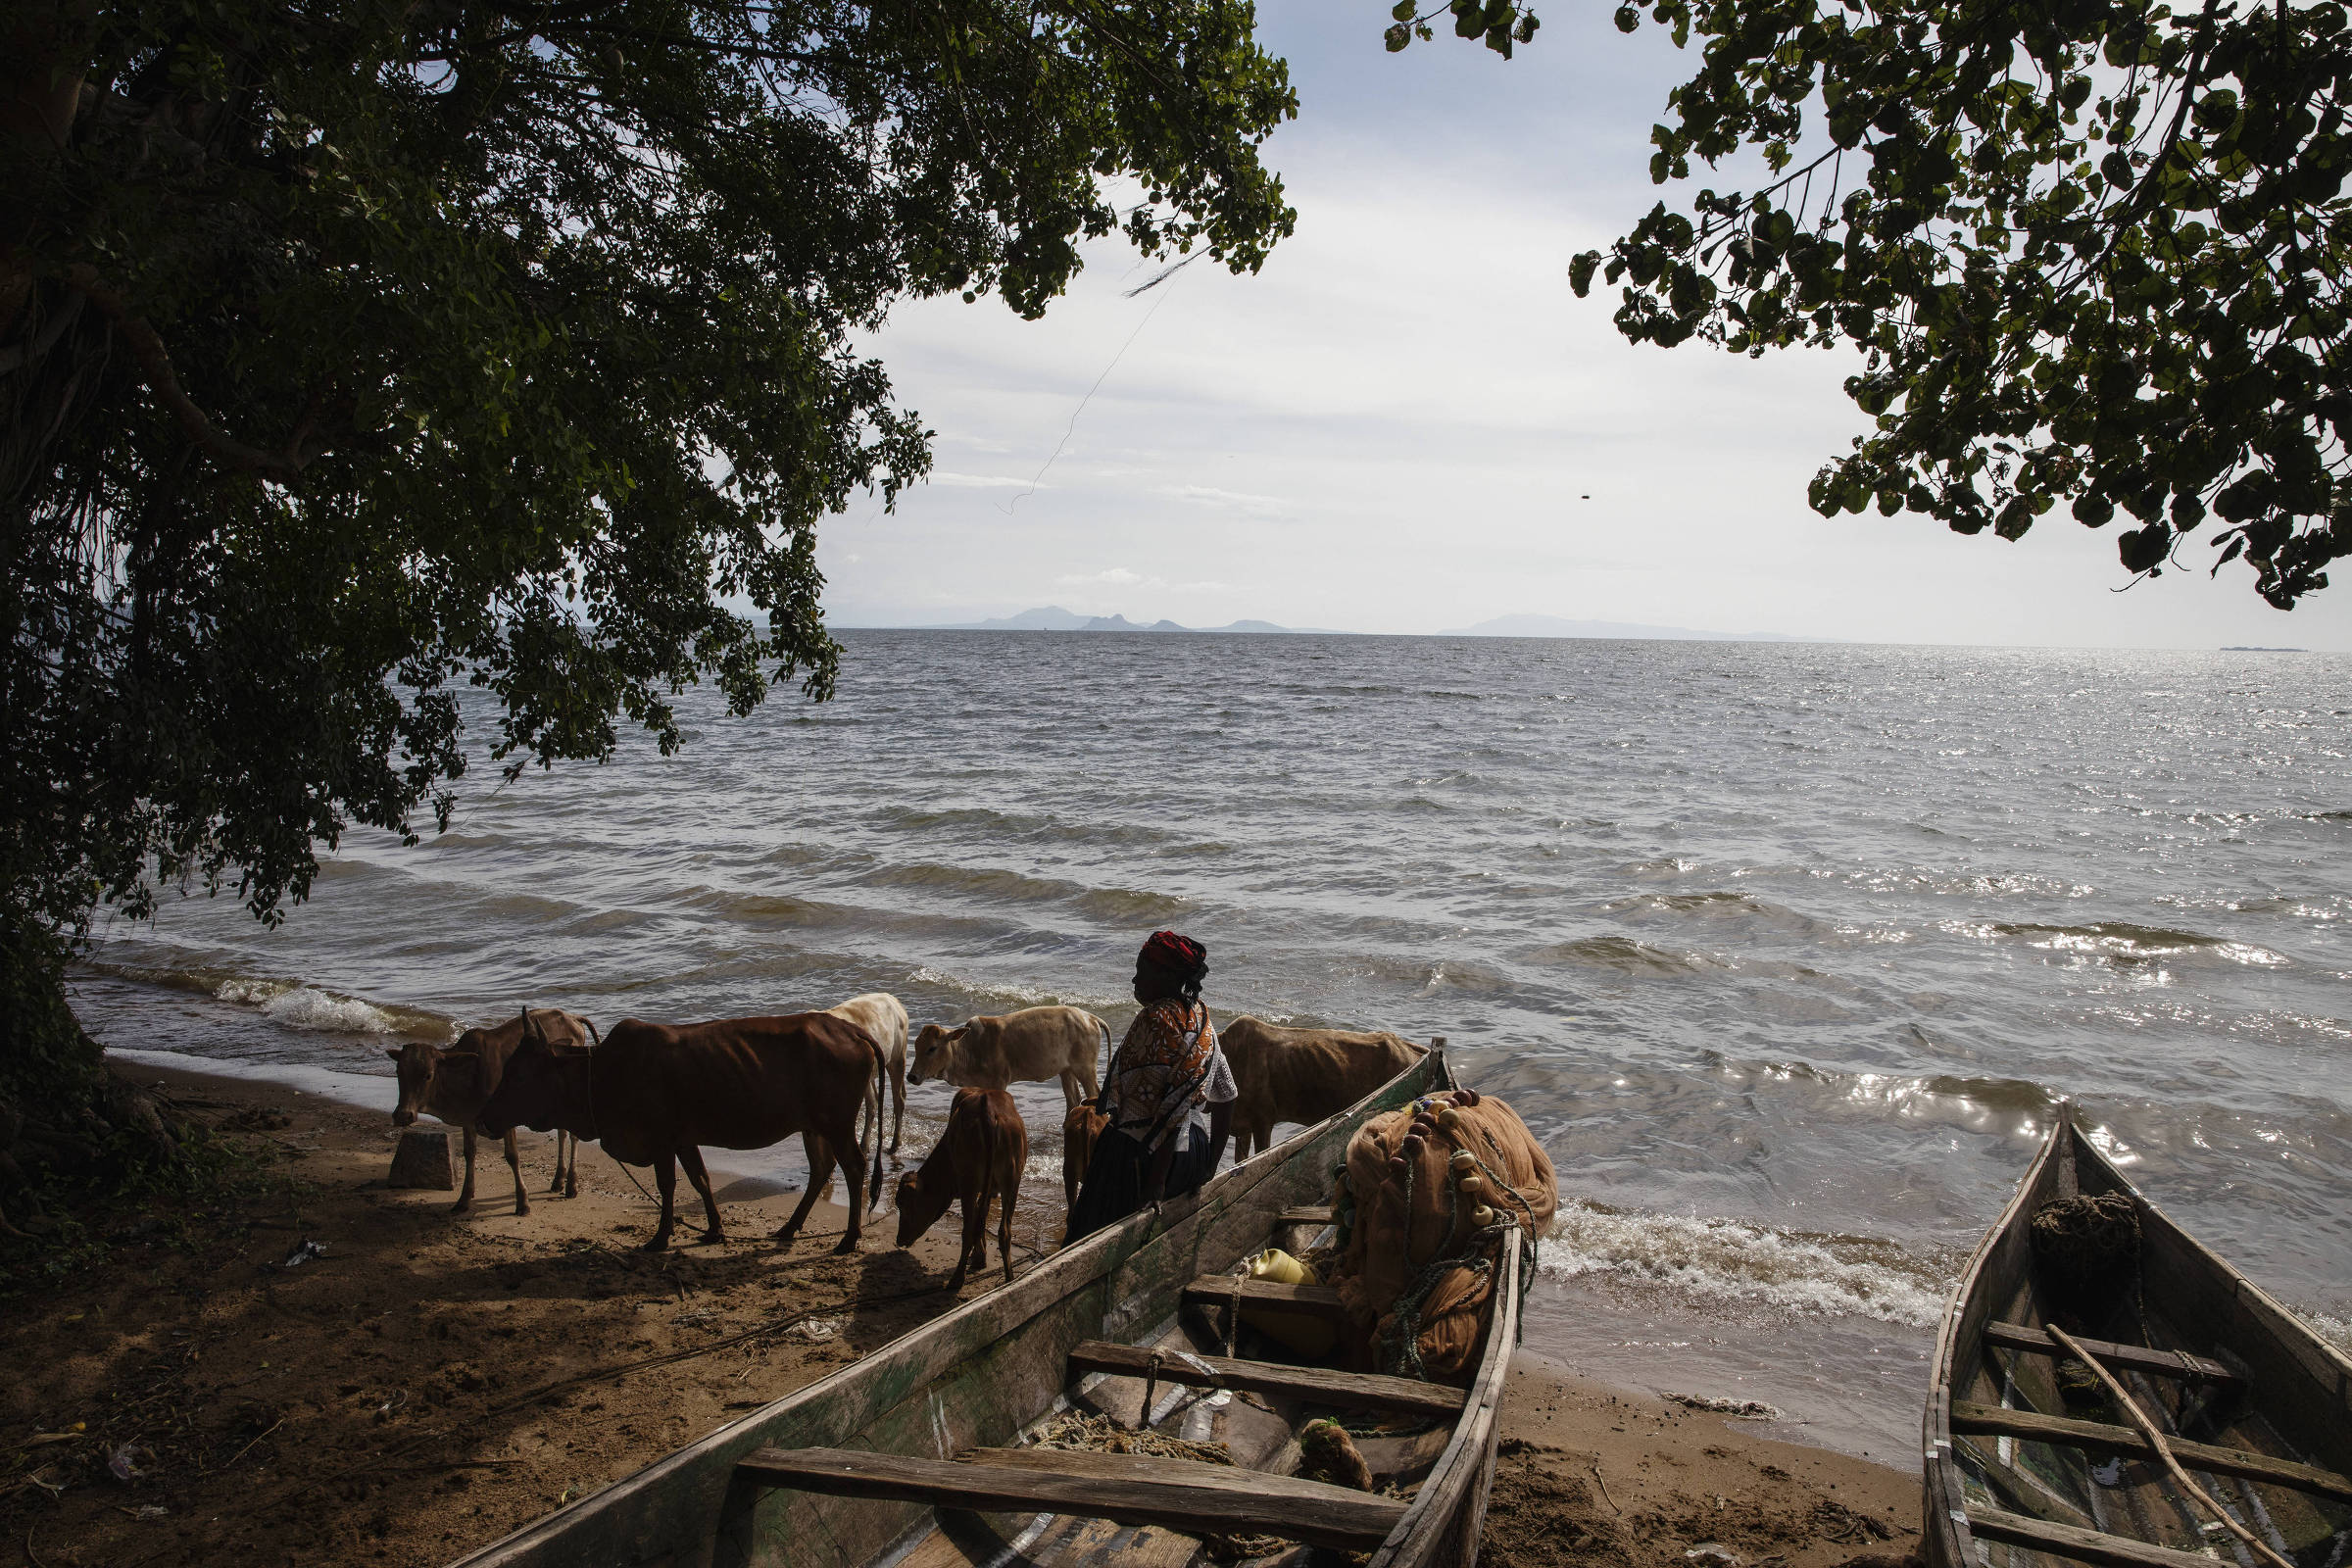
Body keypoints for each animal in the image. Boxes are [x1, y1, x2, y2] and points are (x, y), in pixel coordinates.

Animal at [385, 1010, 597, 1222]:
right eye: (398, 1072)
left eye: (428, 1075)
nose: (403, 1115)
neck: (469, 1074)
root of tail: (572, 1017)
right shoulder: (470, 1121)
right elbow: (469, 1153)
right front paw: (463, 1199)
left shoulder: (505, 1119)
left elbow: (512, 1156)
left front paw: (523, 1202)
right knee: (562, 1133)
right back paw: (558, 1180)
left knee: (573, 1136)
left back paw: (571, 1185)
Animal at [477, 1010, 884, 1259]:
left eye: (519, 1074)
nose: (485, 1117)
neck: (601, 1075)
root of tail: (850, 1029)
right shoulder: (684, 1140)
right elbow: (700, 1180)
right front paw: (714, 1230)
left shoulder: (661, 1140)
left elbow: (668, 1186)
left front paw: (660, 1237)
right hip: (813, 1127)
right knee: (821, 1170)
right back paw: (789, 1228)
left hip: (836, 1124)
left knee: (853, 1167)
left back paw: (849, 1238)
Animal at [889, 1086, 1020, 1298]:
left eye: (903, 1203)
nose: (899, 1239)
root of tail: (988, 1109)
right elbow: (982, 1215)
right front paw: (980, 1257)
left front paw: (978, 1257)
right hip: (1011, 1181)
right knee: (1004, 1231)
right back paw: (1009, 1279)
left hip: (970, 1183)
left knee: (968, 1231)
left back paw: (957, 1278)